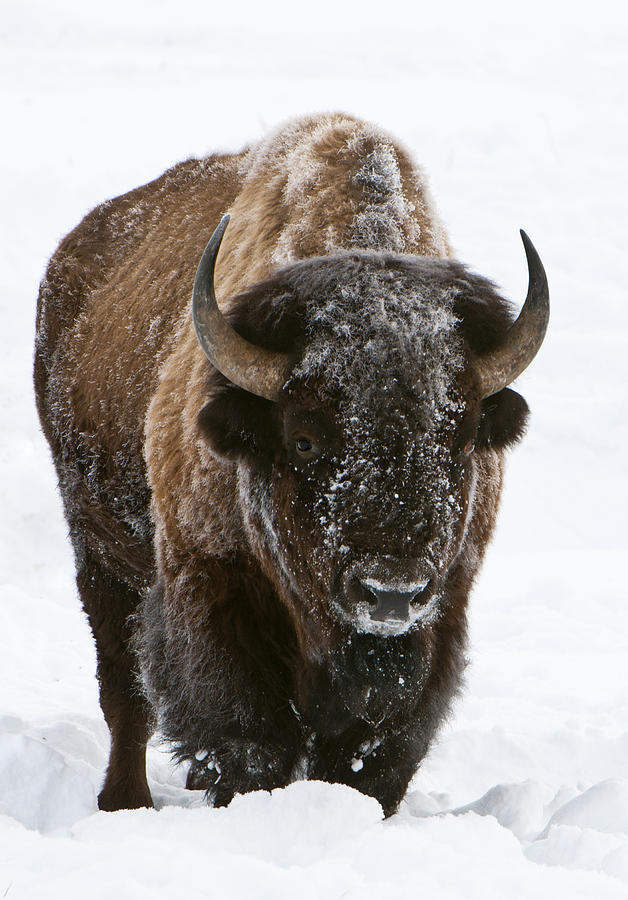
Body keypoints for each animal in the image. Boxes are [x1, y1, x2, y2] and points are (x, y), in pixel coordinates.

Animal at [34, 112, 548, 816]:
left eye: (464, 437)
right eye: (303, 440)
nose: (391, 591)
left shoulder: (442, 612)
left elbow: (379, 750)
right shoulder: (211, 591)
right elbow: (250, 737)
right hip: (100, 555)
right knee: (124, 692)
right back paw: (124, 801)